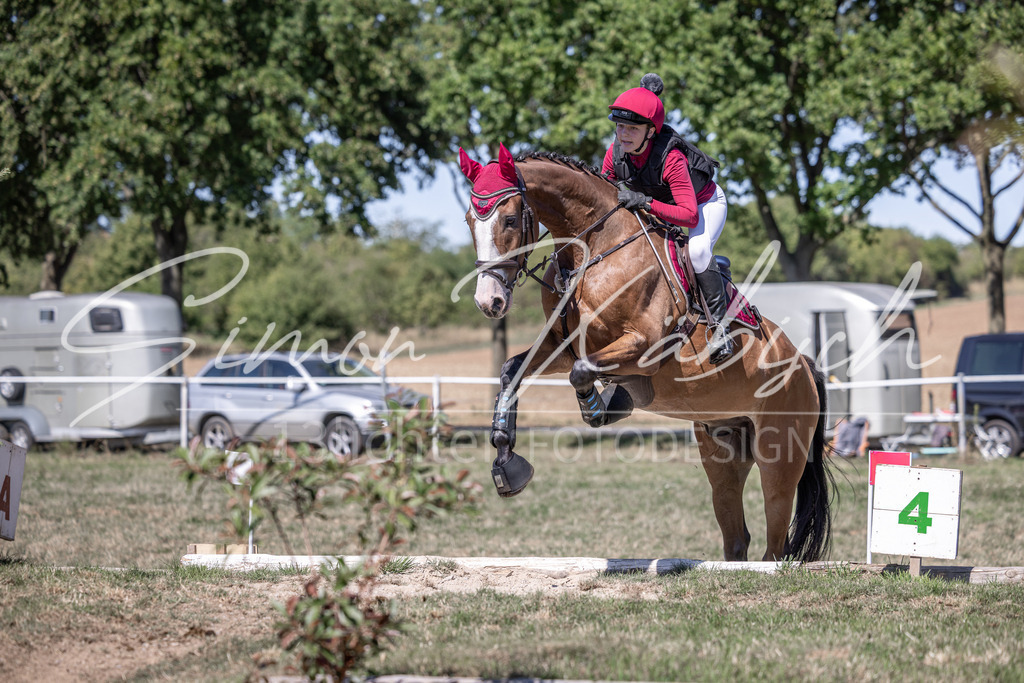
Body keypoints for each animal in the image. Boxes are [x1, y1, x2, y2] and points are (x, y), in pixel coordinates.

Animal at [458, 142, 833, 562]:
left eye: (509, 220)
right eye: (469, 221)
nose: (489, 301)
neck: (594, 250)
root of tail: (805, 366)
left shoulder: (644, 344)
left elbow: (582, 372)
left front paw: (605, 407)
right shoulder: (563, 346)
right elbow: (513, 370)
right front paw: (506, 460)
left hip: (779, 460)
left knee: (775, 544)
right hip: (723, 453)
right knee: (737, 535)